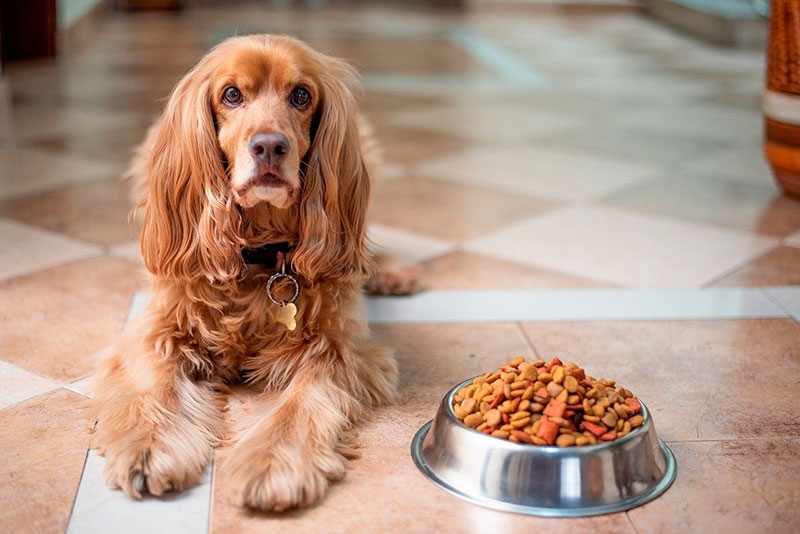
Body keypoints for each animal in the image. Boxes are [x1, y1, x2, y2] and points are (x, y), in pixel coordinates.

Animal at [91, 34, 416, 516]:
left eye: (300, 95)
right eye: (231, 95)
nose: (269, 147)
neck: (260, 255)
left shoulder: (339, 349)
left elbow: (299, 406)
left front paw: (272, 464)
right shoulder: (157, 329)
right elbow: (157, 386)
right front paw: (149, 447)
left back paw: (392, 271)